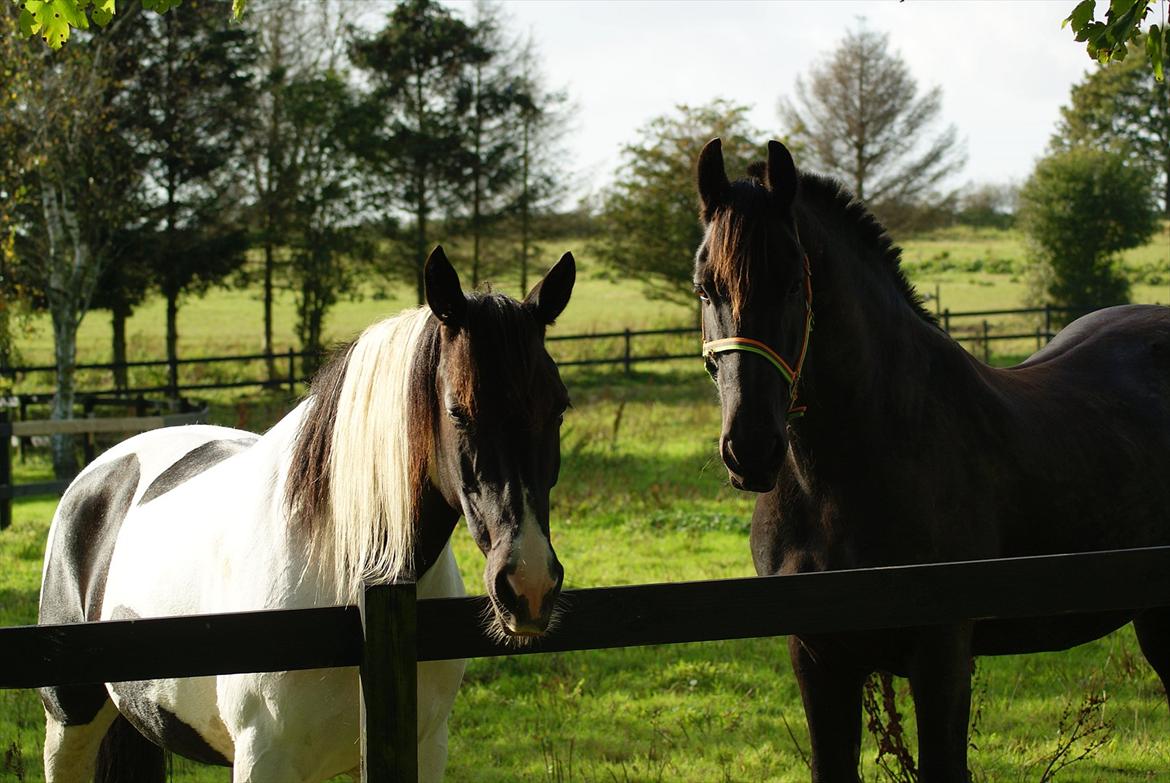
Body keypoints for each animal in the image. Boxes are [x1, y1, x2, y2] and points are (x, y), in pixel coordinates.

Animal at [40, 246, 575, 781]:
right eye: (456, 410)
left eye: (559, 409)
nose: (529, 584)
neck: (350, 578)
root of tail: (105, 468)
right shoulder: (263, 758)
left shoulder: (421, 748)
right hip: (69, 724)